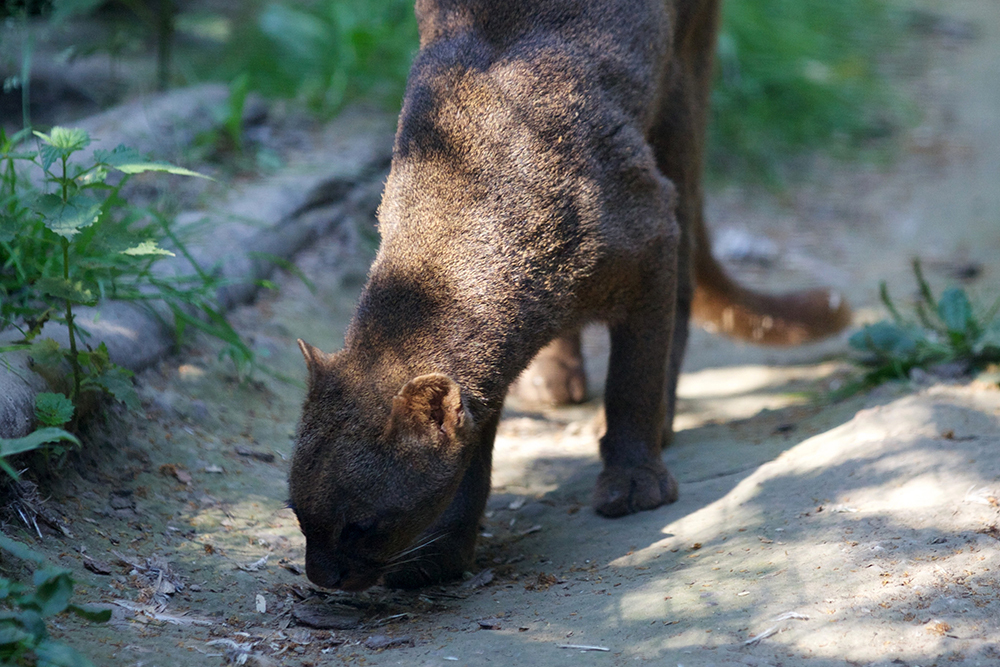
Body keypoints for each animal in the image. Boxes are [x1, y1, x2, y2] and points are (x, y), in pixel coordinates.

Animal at [286, 0, 848, 596]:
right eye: (300, 516)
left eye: (360, 526)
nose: (321, 577)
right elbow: (475, 440)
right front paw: (439, 552)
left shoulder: (651, 235)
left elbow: (633, 378)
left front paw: (635, 482)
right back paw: (556, 379)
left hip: (682, 91)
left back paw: (659, 421)